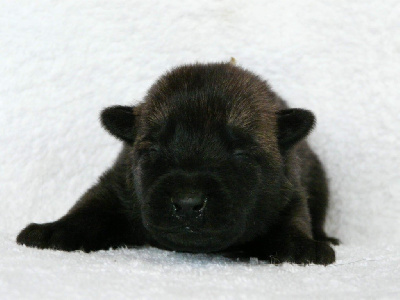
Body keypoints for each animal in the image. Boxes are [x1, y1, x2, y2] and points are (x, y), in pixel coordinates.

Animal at [17, 61, 340, 264]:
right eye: (153, 150)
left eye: (240, 154)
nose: (187, 203)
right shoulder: (116, 186)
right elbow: (87, 210)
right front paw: (52, 230)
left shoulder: (290, 194)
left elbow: (293, 223)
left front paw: (301, 247)